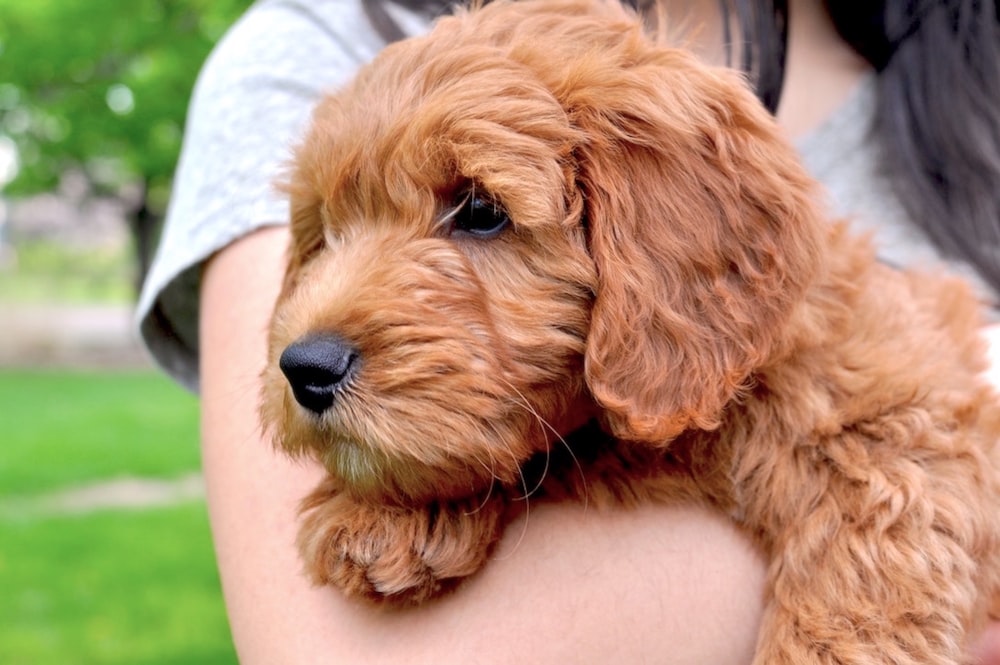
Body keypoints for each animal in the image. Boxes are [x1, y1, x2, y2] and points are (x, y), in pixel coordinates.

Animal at [260, 0, 1000, 660]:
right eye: (328, 231)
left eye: (480, 210)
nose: (305, 366)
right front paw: (382, 511)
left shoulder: (899, 425)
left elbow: (858, 582)